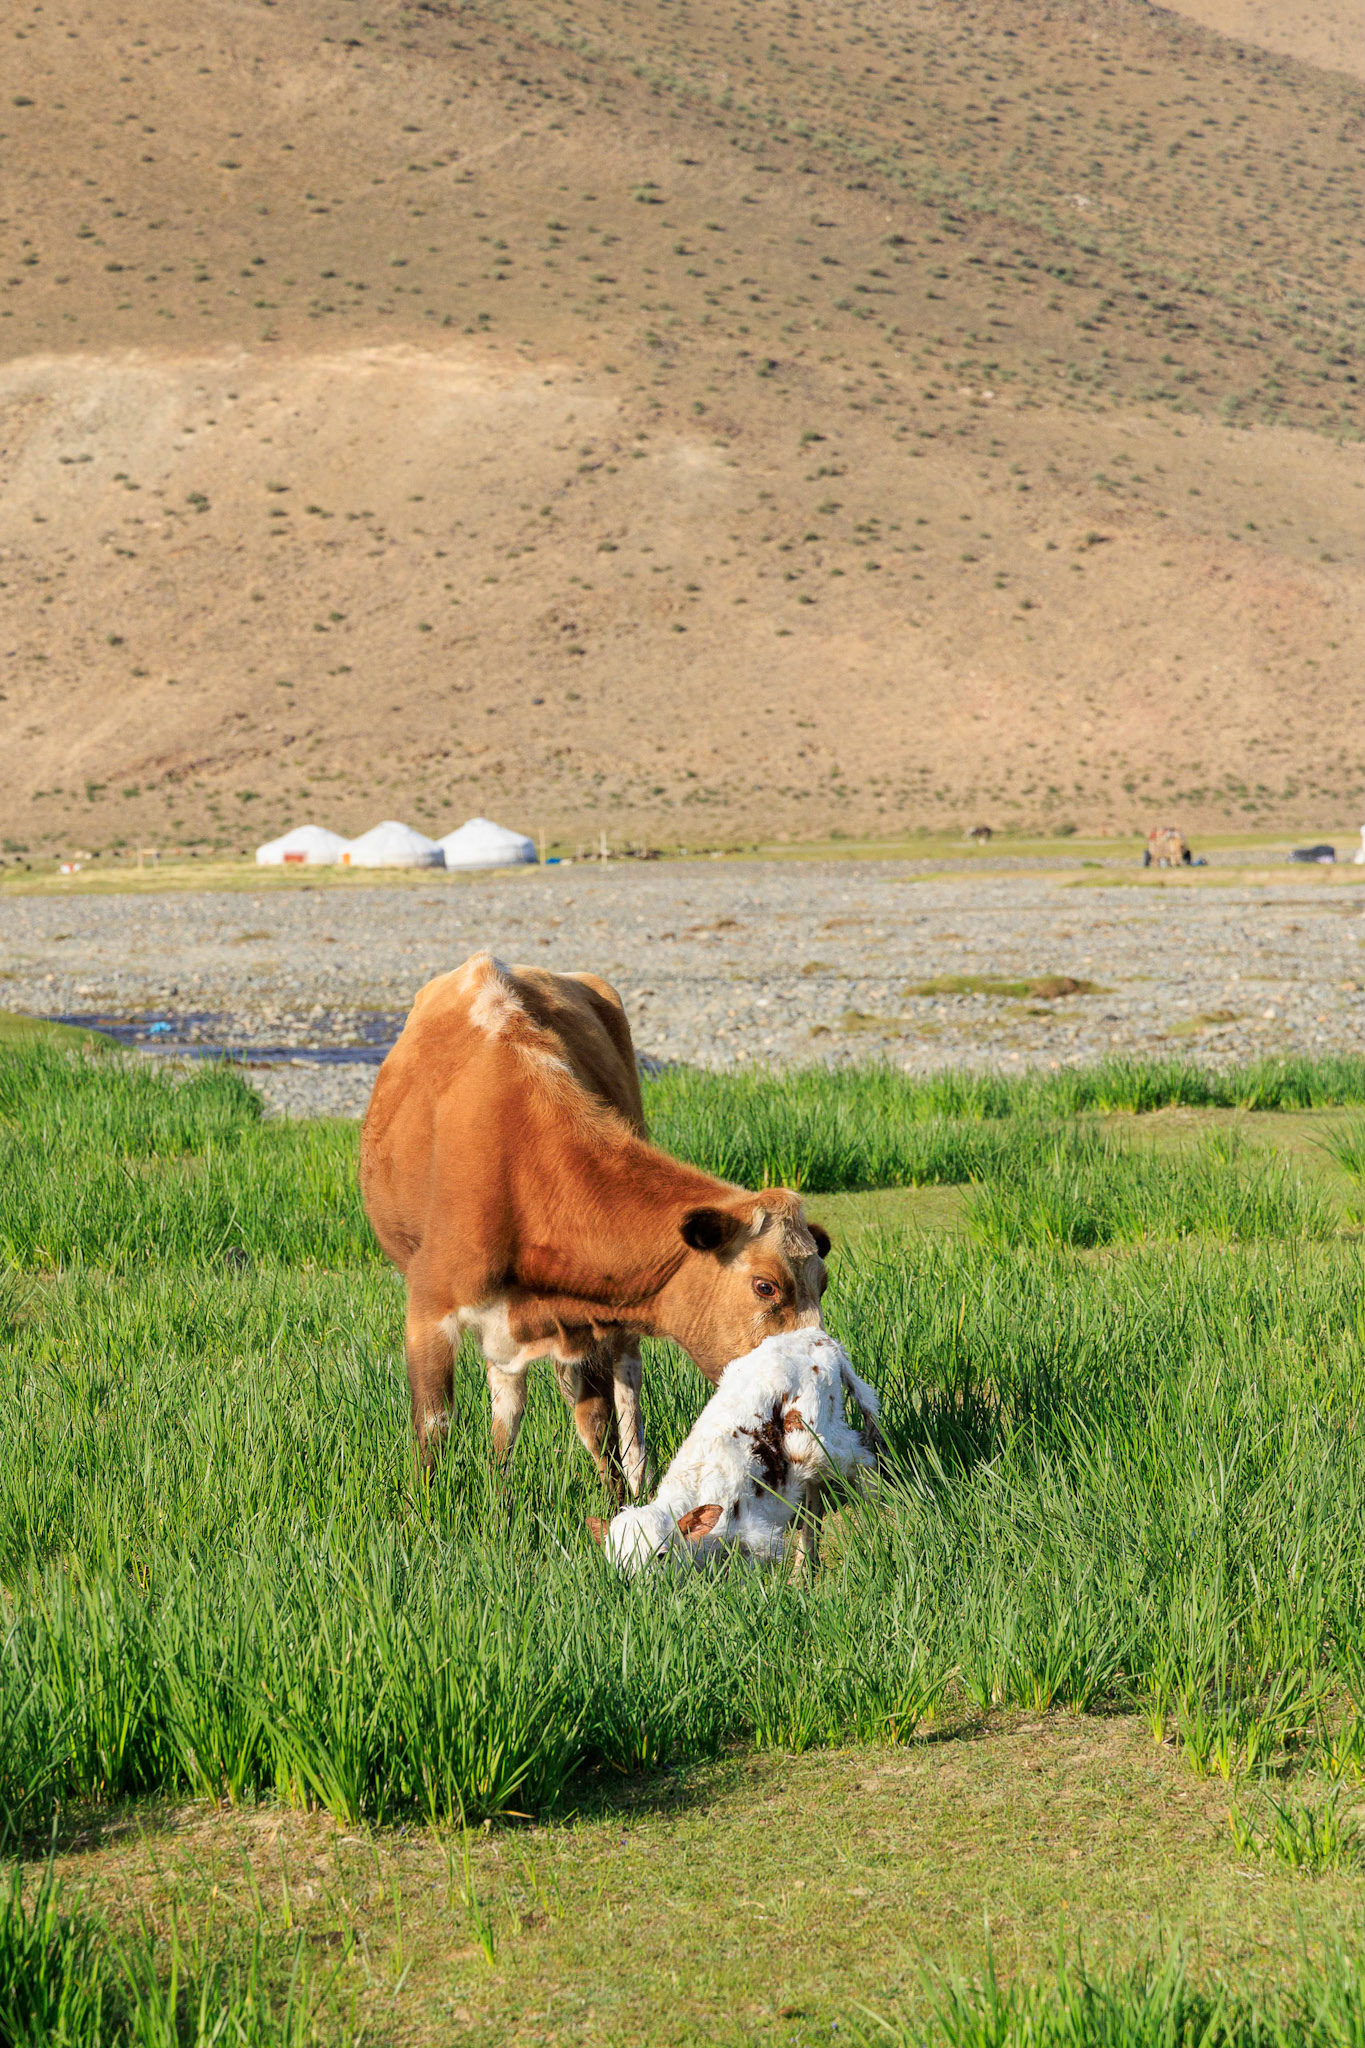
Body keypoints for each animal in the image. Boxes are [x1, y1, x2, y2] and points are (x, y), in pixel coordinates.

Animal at [359, 952, 833, 1502]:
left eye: (823, 1282)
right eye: (765, 1286)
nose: (819, 1382)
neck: (519, 1164)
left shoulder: (582, 1321)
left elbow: (597, 1423)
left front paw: (617, 1504)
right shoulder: (429, 1309)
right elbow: (434, 1423)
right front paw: (428, 1507)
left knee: (624, 1390)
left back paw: (636, 1477)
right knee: (508, 1402)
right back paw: (500, 1485)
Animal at [588, 1329, 881, 1576]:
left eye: (661, 1555)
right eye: (616, 1560)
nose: (635, 1585)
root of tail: (818, 1337)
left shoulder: (758, 1539)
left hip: (809, 1440)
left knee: (864, 1457)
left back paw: (875, 1520)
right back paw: (804, 1567)